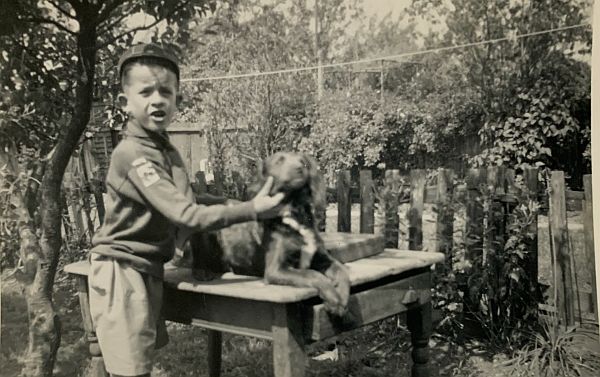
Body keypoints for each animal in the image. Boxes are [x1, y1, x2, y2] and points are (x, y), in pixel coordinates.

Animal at [190, 151, 352, 316]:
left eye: (304, 162)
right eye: (279, 161)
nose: (300, 168)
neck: (295, 213)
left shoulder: (322, 258)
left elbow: (342, 271)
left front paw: (342, 298)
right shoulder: (275, 269)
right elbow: (312, 273)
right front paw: (333, 300)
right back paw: (203, 272)